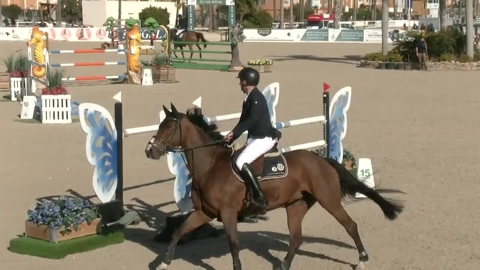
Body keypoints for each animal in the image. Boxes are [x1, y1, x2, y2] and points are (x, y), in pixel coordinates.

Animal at [144, 103, 404, 270]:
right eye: (159, 125)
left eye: (169, 127)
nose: (150, 151)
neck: (210, 165)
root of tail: (322, 159)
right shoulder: (204, 213)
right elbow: (178, 232)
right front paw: (163, 264)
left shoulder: (228, 213)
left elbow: (234, 244)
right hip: (296, 205)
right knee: (296, 238)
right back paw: (284, 265)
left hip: (328, 199)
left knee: (350, 225)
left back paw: (362, 260)